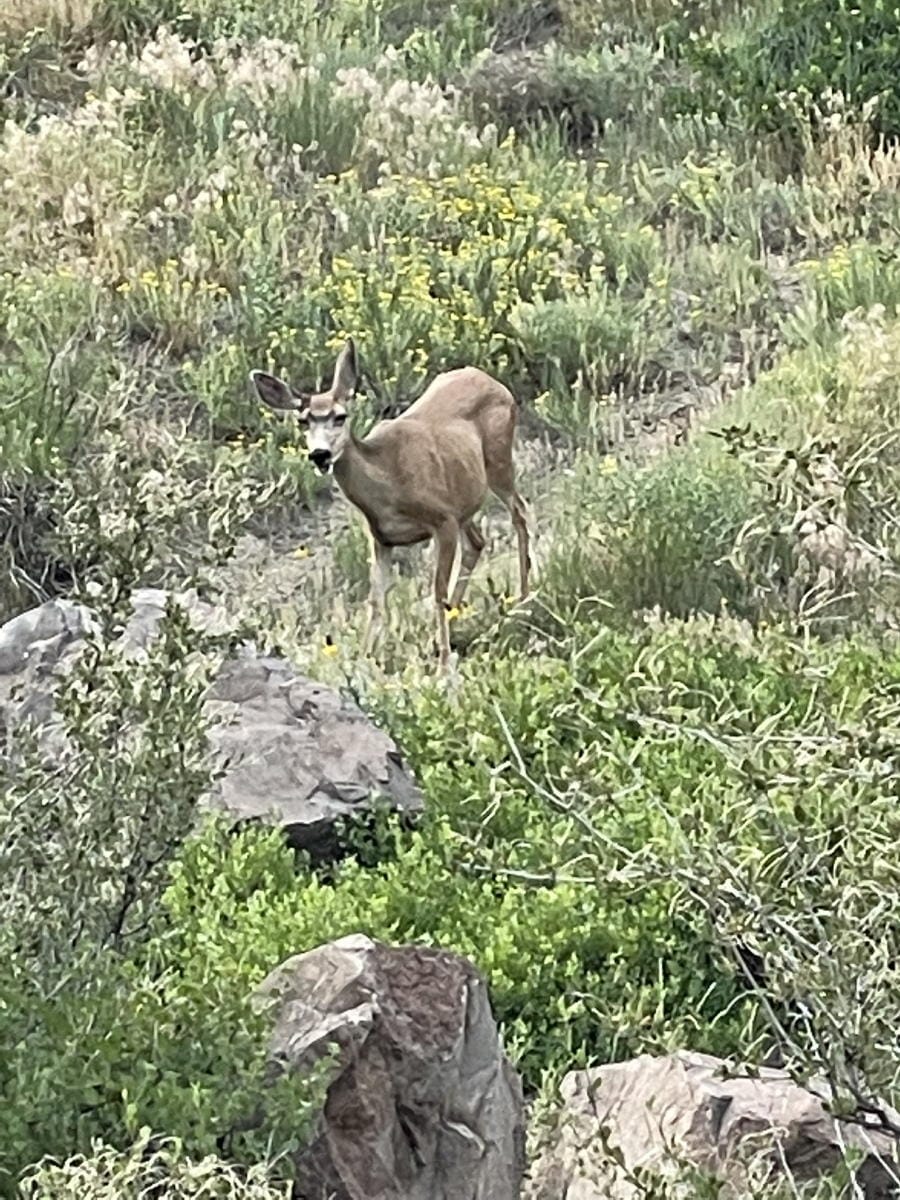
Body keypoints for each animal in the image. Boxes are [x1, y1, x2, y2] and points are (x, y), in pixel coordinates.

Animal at [249, 339, 531, 670]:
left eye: (340, 416)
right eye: (302, 421)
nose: (319, 454)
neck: (389, 481)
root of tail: (492, 381)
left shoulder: (443, 519)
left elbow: (436, 591)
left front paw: (444, 663)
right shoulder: (381, 537)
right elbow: (376, 599)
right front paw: (364, 659)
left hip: (498, 462)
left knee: (519, 513)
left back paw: (523, 600)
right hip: (464, 497)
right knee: (477, 541)